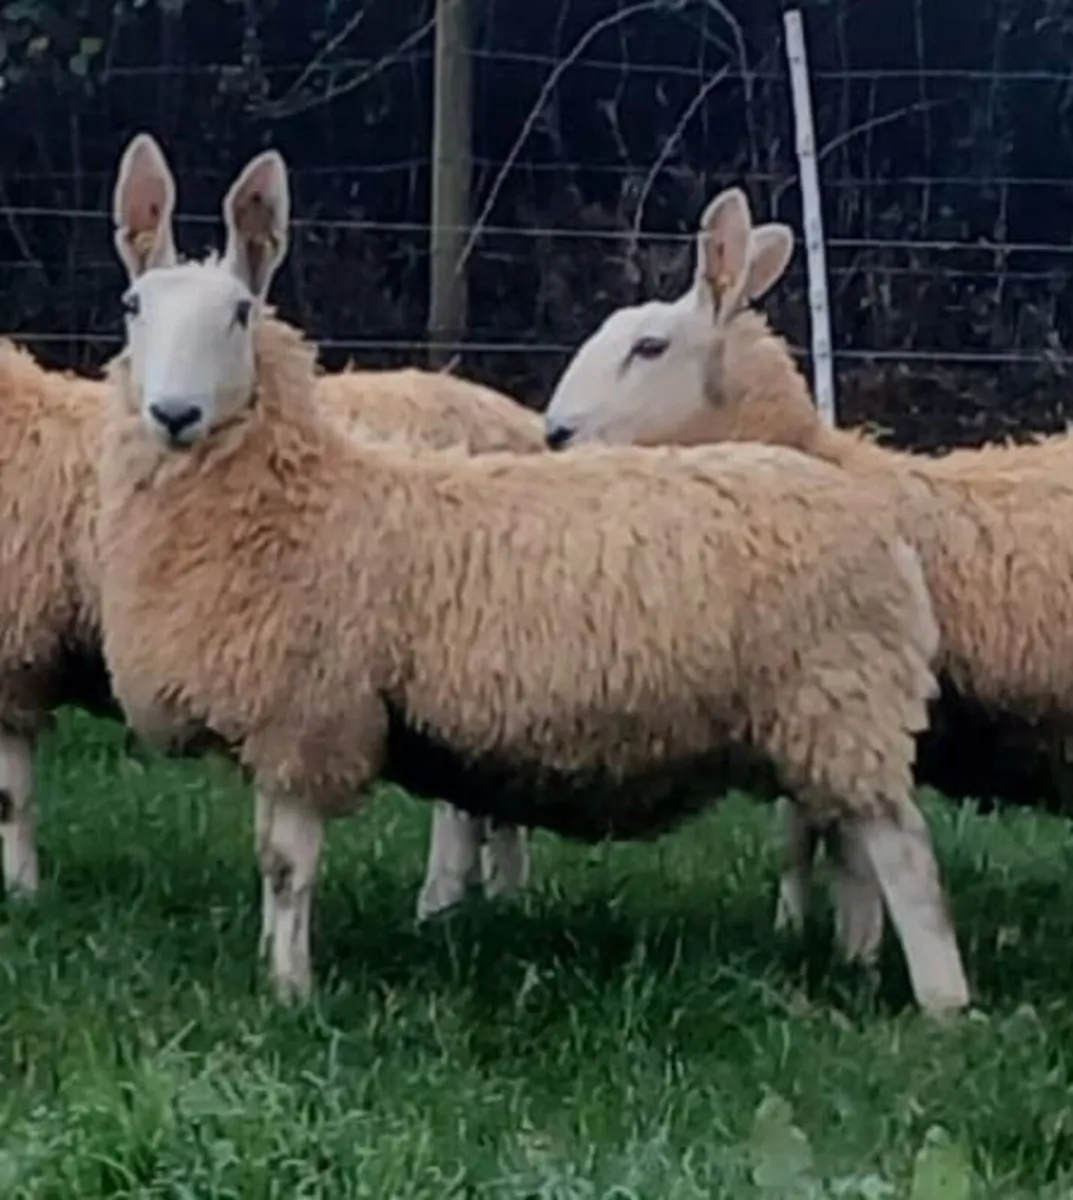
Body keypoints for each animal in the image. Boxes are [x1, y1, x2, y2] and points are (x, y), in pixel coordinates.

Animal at [92, 132, 971, 1015]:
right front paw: (276, 968)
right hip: (826, 715)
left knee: (904, 857)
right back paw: (856, 965)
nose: (173, 415)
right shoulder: (292, 718)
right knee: (854, 849)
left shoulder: (306, 713)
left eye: (240, 312)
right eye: (132, 306)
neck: (307, 496)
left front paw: (289, 991)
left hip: (840, 698)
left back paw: (942, 1006)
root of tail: (880, 526)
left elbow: (284, 866)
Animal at [542, 182, 1073, 965]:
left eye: (649, 346)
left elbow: (837, 846)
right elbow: (797, 838)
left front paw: (854, 950)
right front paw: (798, 928)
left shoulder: (839, 692)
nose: (553, 434)